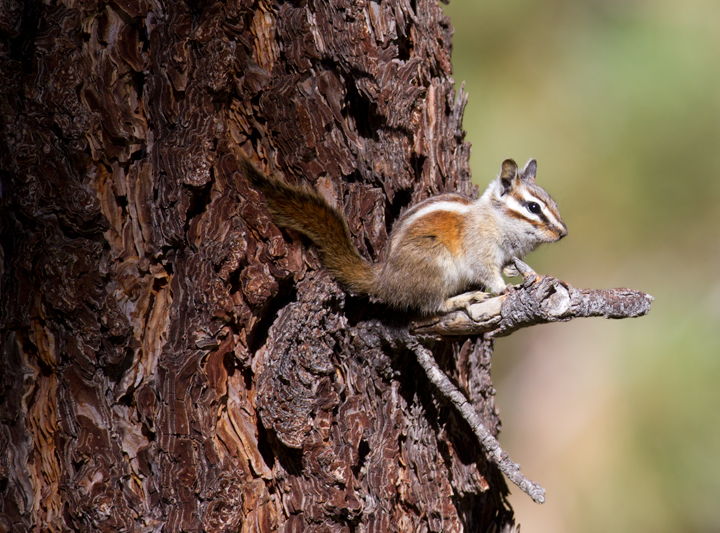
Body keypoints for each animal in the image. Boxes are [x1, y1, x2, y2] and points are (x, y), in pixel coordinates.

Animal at [241, 157, 567, 315]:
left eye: (552, 201)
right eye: (533, 207)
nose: (563, 232)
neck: (493, 218)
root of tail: (385, 281)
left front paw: (513, 270)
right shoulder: (480, 248)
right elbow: (486, 272)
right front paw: (504, 288)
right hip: (434, 264)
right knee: (430, 305)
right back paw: (462, 299)